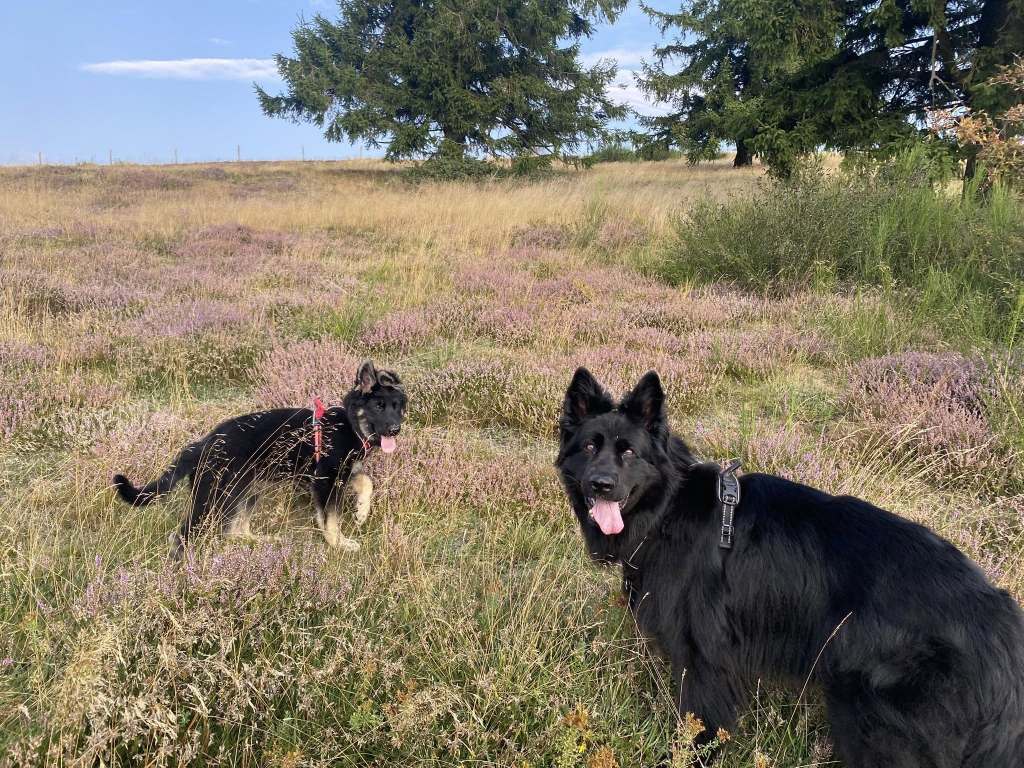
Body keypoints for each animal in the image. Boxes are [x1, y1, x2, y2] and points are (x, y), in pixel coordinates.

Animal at [113, 360, 406, 559]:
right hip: (215, 498)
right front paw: (339, 543)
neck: (350, 424)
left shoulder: (342, 474)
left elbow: (367, 483)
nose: (395, 430)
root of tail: (203, 444)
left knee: (236, 530)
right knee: (182, 535)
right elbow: (331, 519)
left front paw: (361, 512)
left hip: (247, 491)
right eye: (379, 406)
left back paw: (262, 542)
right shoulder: (325, 480)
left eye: (398, 407)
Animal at [555, 367, 1024, 767]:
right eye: (590, 447)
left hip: (874, 726)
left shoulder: (703, 664)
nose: (601, 484)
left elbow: (699, 731)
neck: (668, 508)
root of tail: (1000, 620)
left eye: (629, 452)